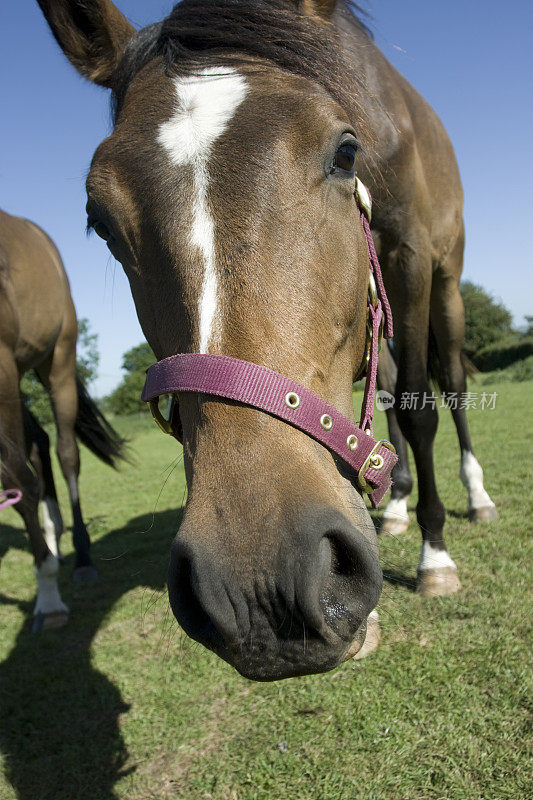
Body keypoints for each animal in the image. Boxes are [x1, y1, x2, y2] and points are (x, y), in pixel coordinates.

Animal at [0, 206, 123, 632]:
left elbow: (17, 480)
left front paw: (49, 600)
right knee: (37, 442)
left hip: (56, 361)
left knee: (65, 453)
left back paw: (80, 556)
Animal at [36, 0, 494, 680]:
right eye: (100, 220)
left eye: (345, 153)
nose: (258, 591)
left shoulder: (410, 259)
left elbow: (421, 411)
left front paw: (435, 557)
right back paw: (393, 508)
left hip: (445, 280)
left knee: (452, 387)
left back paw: (473, 496)